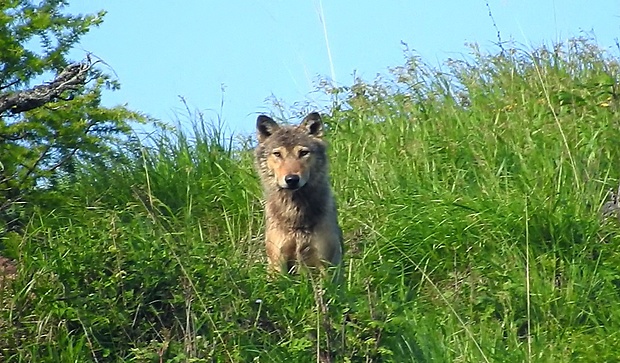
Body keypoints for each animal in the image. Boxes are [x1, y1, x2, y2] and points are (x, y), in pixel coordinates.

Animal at [254, 112, 346, 274]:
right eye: (277, 154)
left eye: (303, 153)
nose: (291, 179)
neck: (295, 215)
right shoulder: (278, 262)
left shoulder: (324, 262)